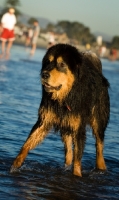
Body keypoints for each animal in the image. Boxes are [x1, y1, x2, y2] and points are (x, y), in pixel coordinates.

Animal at [10, 43, 109, 177]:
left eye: (62, 64)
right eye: (48, 62)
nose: (44, 74)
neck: (64, 98)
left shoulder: (78, 129)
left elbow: (78, 159)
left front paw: (77, 176)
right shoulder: (44, 120)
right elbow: (27, 144)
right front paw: (16, 164)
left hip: (98, 120)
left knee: (99, 145)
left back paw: (101, 167)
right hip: (65, 126)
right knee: (68, 152)